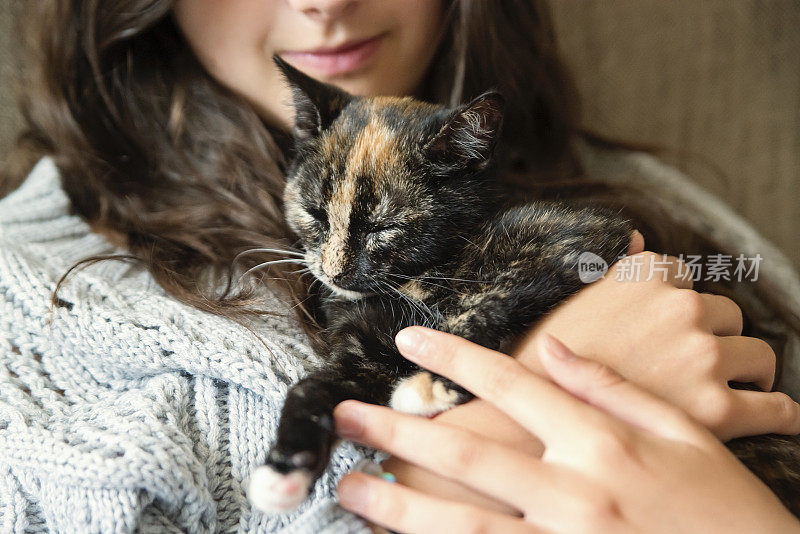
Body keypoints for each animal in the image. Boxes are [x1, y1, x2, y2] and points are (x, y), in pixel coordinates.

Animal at [245, 57, 800, 516]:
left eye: (385, 227)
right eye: (315, 212)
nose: (335, 272)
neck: (422, 274)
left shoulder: (580, 237)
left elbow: (490, 300)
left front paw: (430, 385)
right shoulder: (365, 347)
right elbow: (313, 386)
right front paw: (283, 471)